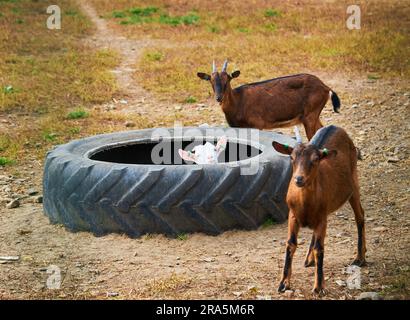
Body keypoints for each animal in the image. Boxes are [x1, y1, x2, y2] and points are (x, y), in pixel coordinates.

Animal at [197, 60, 342, 140]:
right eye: (211, 80)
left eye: (227, 80)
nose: (219, 97)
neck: (238, 102)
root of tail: (325, 87)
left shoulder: (257, 125)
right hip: (313, 116)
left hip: (310, 115)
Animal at [272, 125, 366, 296]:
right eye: (291, 158)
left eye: (315, 160)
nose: (298, 179)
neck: (305, 204)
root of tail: (335, 127)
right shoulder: (293, 216)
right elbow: (291, 244)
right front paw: (283, 284)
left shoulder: (322, 219)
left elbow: (319, 248)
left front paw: (319, 287)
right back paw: (309, 260)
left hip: (354, 184)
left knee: (360, 216)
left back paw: (360, 258)